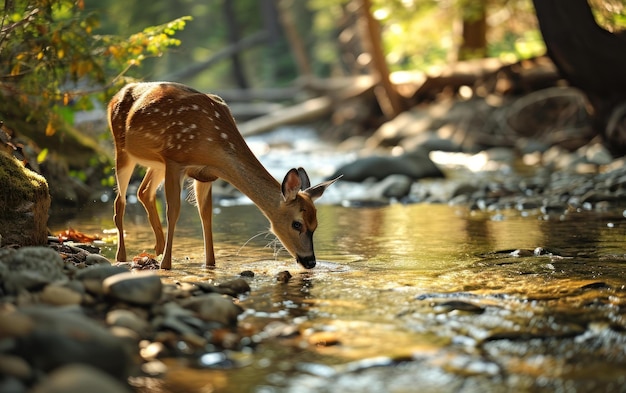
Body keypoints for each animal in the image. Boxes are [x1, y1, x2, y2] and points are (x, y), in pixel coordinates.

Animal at [109, 81, 338, 268]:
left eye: (315, 225)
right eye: (297, 223)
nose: (310, 262)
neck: (213, 145)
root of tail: (115, 95)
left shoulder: (205, 174)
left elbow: (206, 214)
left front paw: (210, 263)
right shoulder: (175, 159)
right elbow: (173, 211)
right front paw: (167, 265)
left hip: (156, 164)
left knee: (143, 191)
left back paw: (157, 248)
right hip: (123, 149)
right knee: (120, 200)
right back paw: (122, 256)